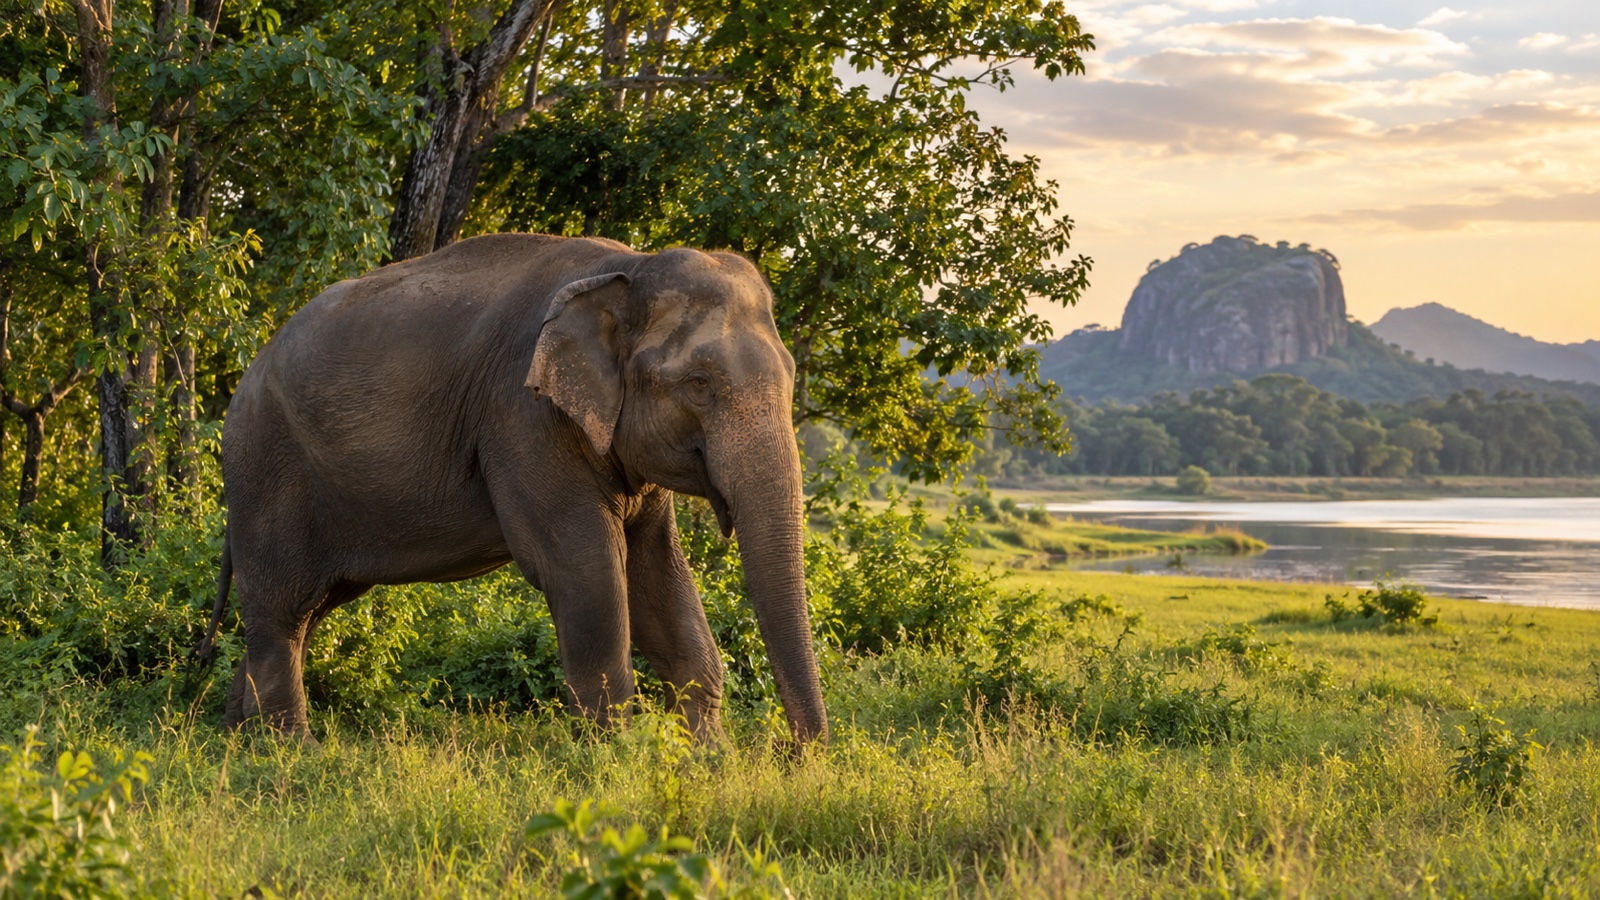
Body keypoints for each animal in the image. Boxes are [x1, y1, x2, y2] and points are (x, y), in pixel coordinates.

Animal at [191, 233, 827, 748]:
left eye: (793, 375)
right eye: (698, 383)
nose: (795, 753)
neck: (627, 268)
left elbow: (658, 573)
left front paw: (707, 761)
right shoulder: (522, 417)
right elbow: (586, 570)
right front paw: (618, 759)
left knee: (307, 611)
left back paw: (238, 740)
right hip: (267, 470)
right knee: (283, 609)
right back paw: (295, 753)